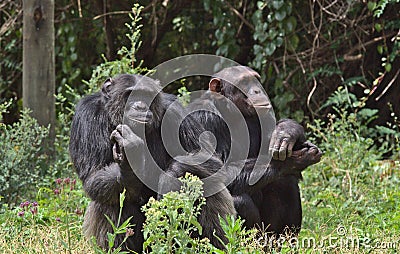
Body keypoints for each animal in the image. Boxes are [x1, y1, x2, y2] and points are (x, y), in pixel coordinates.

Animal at [70, 74, 236, 252]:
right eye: (130, 95)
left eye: (147, 96)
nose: (141, 106)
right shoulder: (87, 115)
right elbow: (93, 175)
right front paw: (130, 162)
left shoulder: (175, 110)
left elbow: (207, 156)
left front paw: (168, 180)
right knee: (109, 198)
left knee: (206, 182)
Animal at [185, 66, 322, 234]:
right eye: (244, 82)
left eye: (256, 79)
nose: (258, 90)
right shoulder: (202, 118)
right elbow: (215, 173)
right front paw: (294, 160)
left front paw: (286, 132)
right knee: (240, 200)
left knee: (286, 181)